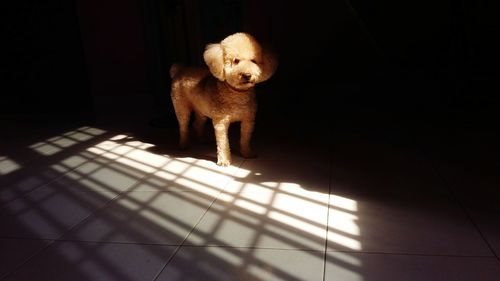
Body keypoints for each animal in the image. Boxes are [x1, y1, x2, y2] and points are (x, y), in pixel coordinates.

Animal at [168, 31, 278, 165]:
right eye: (236, 61)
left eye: (253, 61)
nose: (247, 75)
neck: (237, 94)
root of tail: (179, 70)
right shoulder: (221, 122)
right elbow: (223, 143)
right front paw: (224, 161)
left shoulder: (248, 120)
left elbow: (245, 139)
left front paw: (247, 153)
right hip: (181, 107)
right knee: (183, 126)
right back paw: (183, 144)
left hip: (201, 109)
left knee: (197, 123)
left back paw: (201, 139)